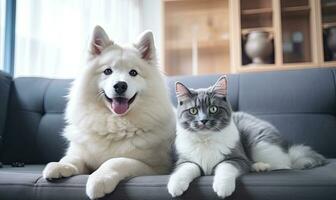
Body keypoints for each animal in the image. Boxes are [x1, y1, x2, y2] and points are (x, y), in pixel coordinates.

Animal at [42, 25, 176, 199]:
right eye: (107, 71)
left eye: (133, 73)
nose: (120, 85)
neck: (114, 124)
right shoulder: (81, 153)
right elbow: (71, 158)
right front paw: (59, 166)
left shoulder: (155, 168)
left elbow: (116, 161)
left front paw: (99, 179)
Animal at [167, 75, 326, 198]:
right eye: (193, 111)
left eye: (213, 109)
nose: (203, 120)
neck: (206, 140)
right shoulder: (185, 160)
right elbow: (184, 170)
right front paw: (175, 186)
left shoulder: (237, 158)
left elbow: (225, 167)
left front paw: (223, 188)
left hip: (259, 145)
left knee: (284, 165)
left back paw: (260, 167)